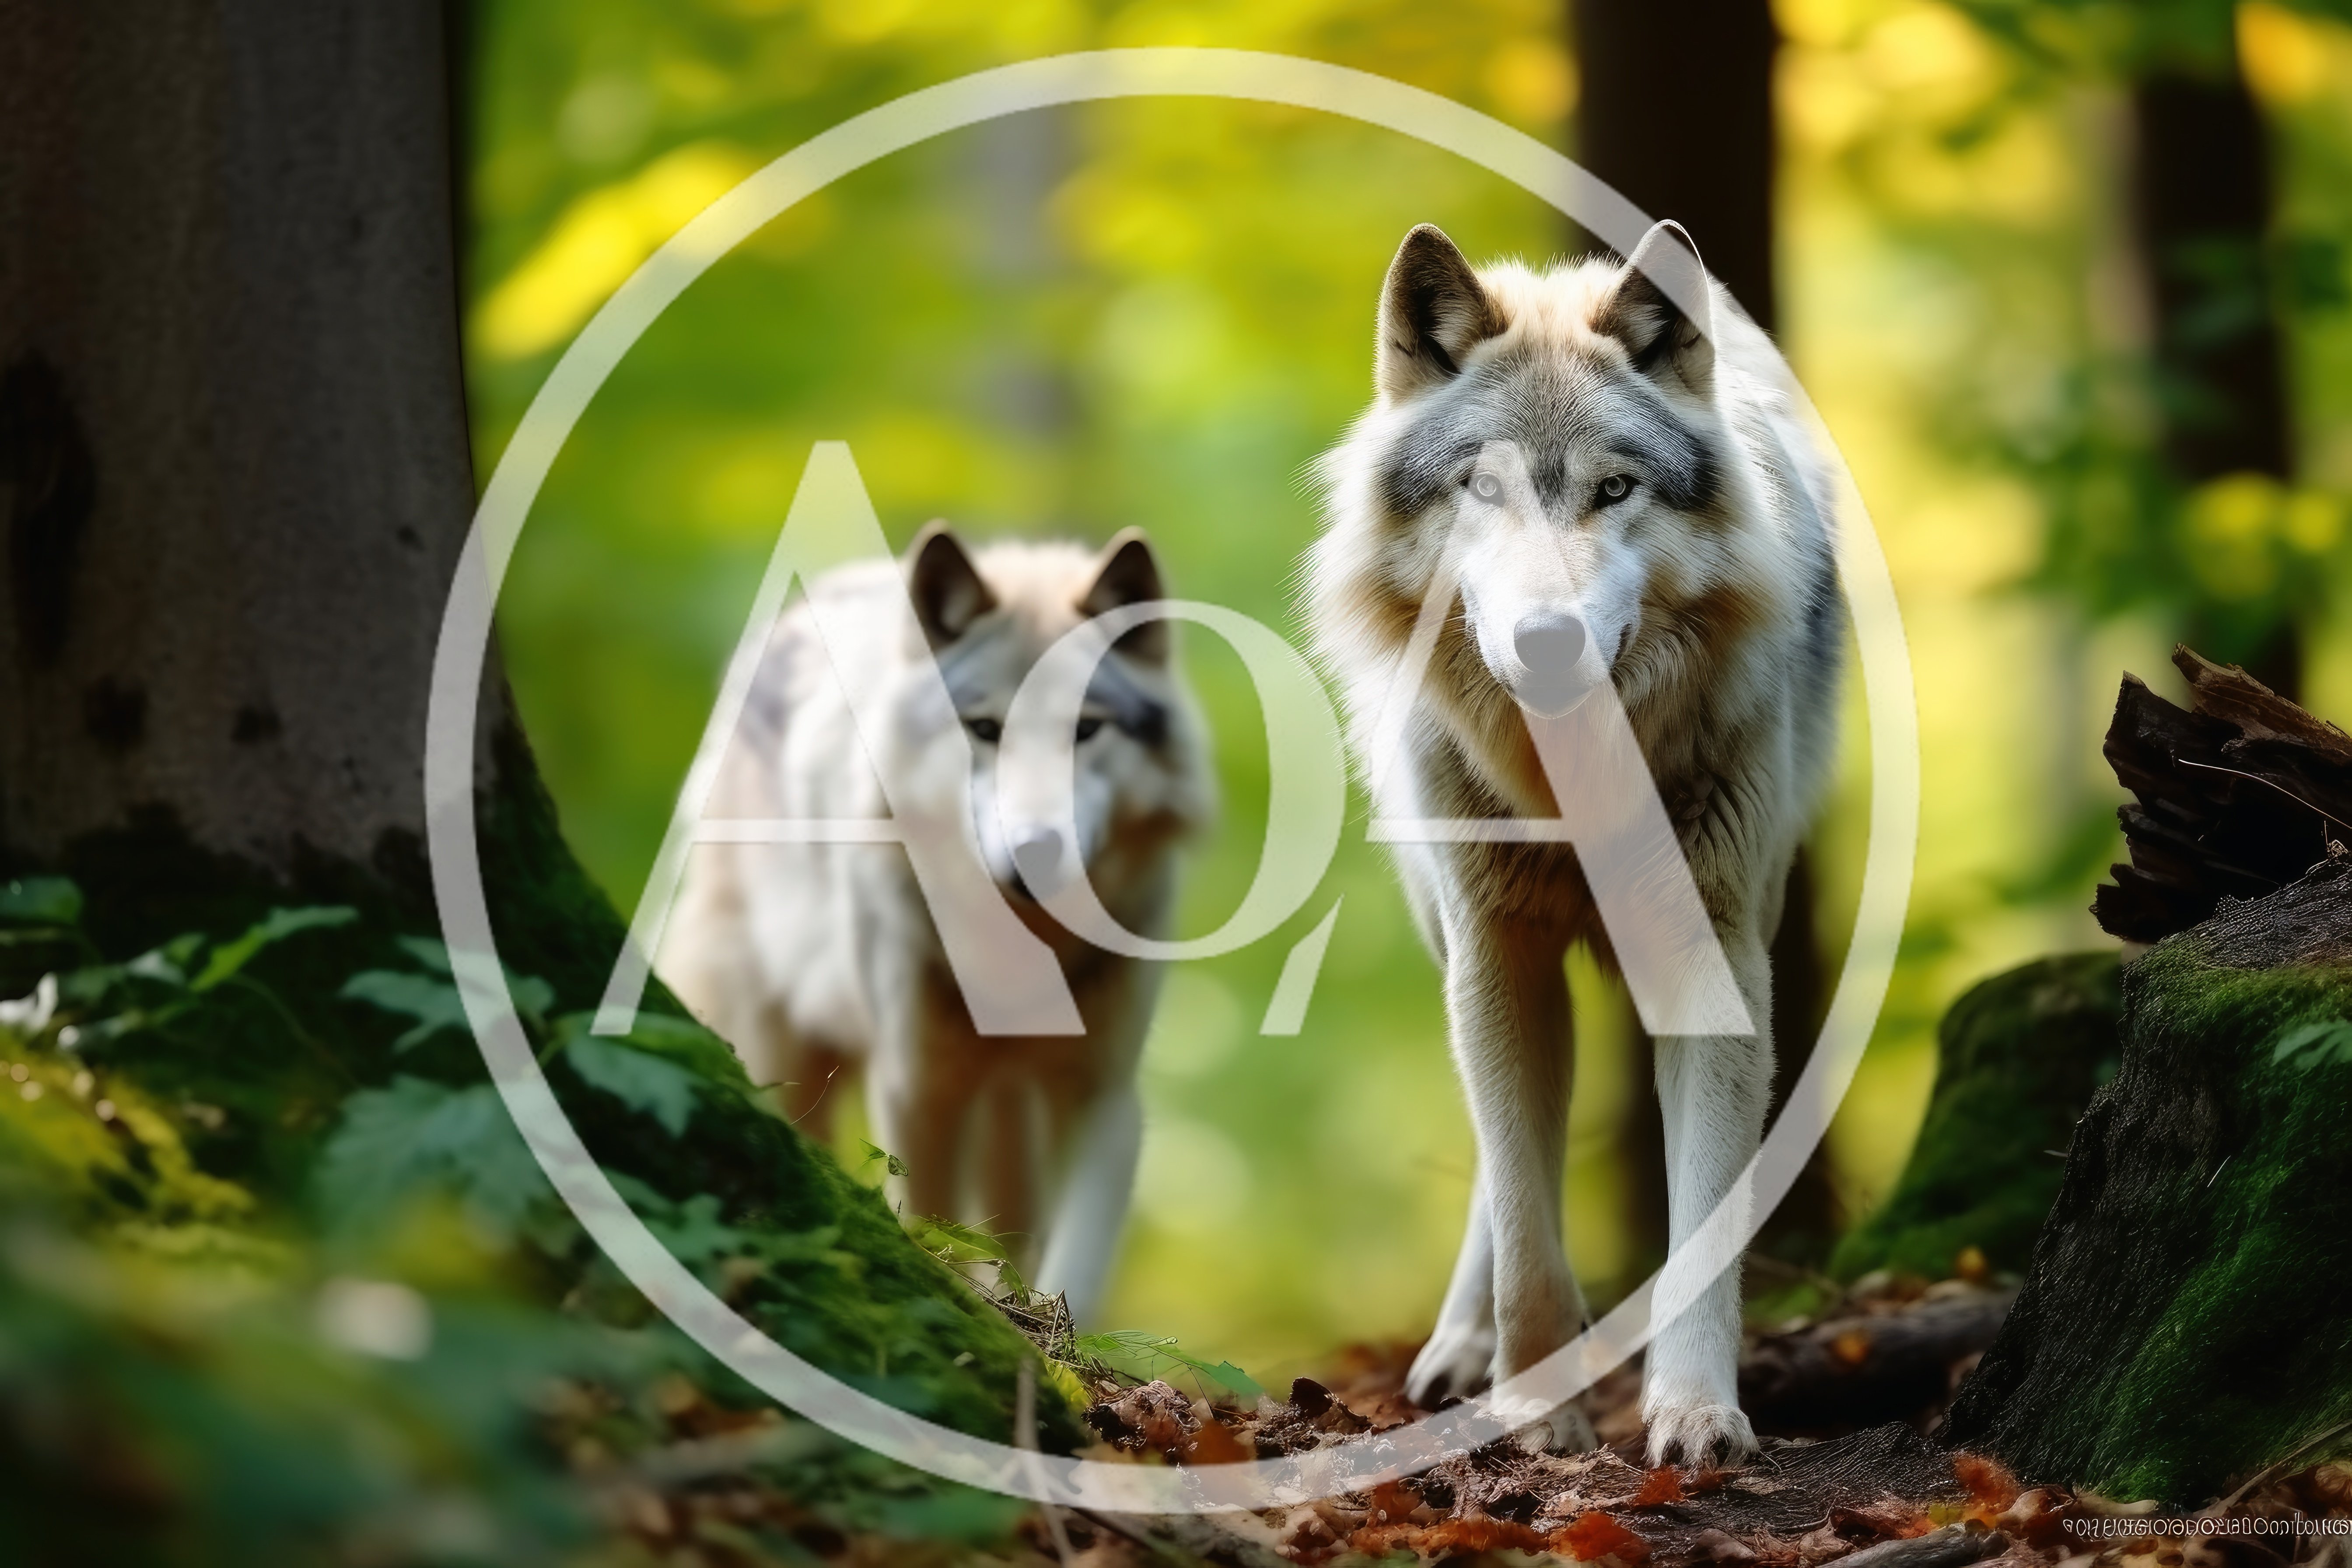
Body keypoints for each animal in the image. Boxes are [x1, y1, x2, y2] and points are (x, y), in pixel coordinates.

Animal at [662, 524, 1213, 1324]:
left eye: (1085, 730)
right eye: (984, 729)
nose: (1035, 850)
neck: (1019, 955)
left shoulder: (1104, 1100)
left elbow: (1074, 1263)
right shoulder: (919, 1091)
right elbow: (934, 1226)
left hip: (1009, 1104)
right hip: (783, 1048)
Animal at [1307, 221, 1841, 1463]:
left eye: (1614, 489)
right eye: (1483, 486)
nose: (1547, 641)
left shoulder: (1718, 958)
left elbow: (1703, 1220)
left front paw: (1694, 1413)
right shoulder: (1499, 956)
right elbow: (1521, 1207)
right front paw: (1531, 1408)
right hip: (1452, 936)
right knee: (1496, 1166)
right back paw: (1460, 1353)